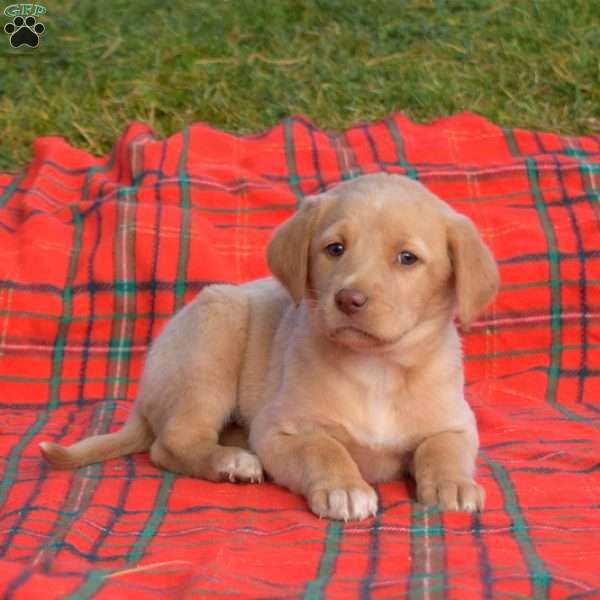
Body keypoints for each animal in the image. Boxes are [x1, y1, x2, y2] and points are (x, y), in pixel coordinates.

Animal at [41, 173, 496, 520]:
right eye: (335, 249)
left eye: (407, 258)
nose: (348, 299)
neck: (377, 369)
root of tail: (144, 397)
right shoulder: (279, 430)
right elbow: (324, 448)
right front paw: (346, 488)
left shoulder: (456, 422)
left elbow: (442, 448)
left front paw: (456, 484)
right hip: (212, 337)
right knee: (170, 444)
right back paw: (232, 461)